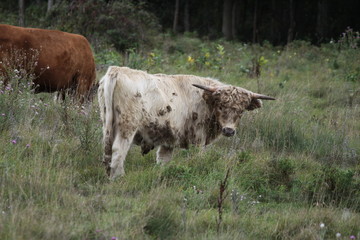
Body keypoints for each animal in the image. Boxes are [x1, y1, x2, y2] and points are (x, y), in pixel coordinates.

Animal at [97, 66, 274, 179]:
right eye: (221, 105)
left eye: (241, 110)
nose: (229, 131)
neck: (206, 100)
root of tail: (117, 70)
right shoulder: (199, 139)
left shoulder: (167, 142)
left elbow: (163, 161)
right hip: (127, 127)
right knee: (118, 151)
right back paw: (119, 177)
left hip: (107, 125)